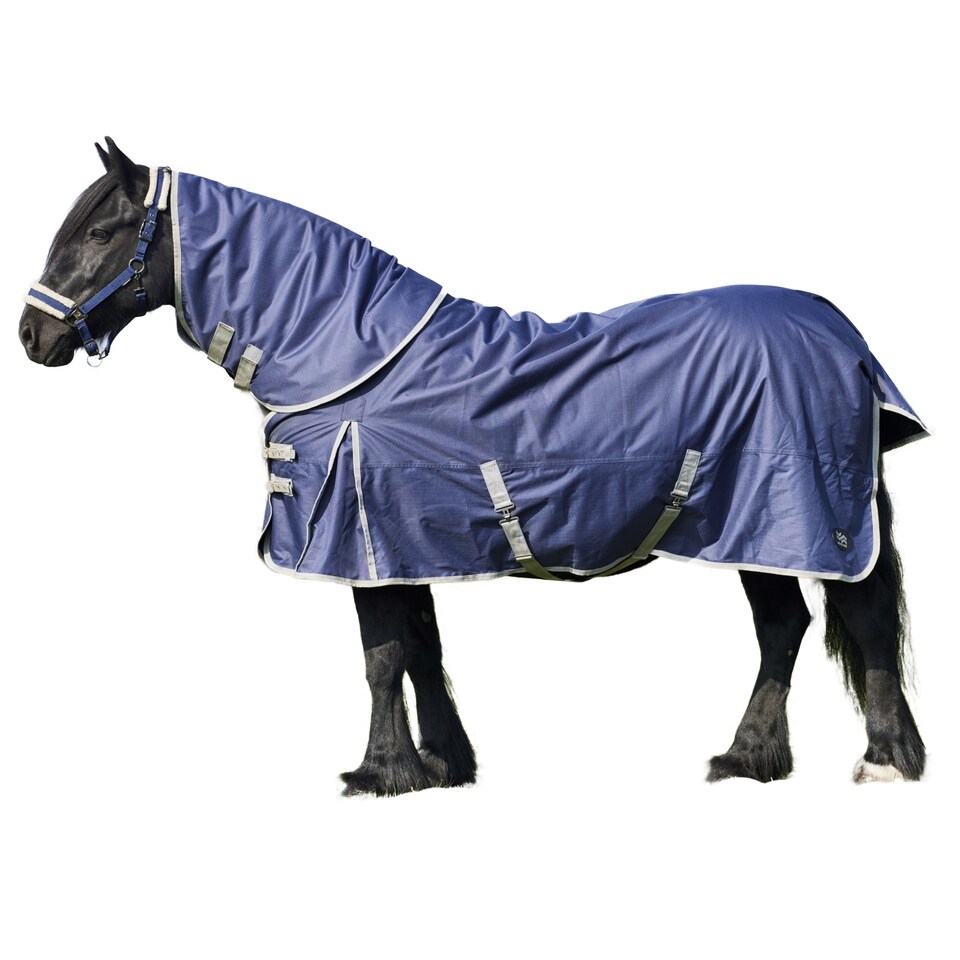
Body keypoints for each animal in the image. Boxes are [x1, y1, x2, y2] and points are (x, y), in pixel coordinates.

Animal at [19, 139, 928, 794]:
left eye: (100, 232)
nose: (34, 336)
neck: (347, 353)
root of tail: (839, 332)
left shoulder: (363, 536)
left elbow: (383, 656)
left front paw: (380, 774)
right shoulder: (401, 543)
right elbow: (420, 649)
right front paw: (443, 765)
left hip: (800, 516)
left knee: (859, 621)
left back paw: (879, 759)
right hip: (748, 527)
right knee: (786, 628)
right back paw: (750, 759)